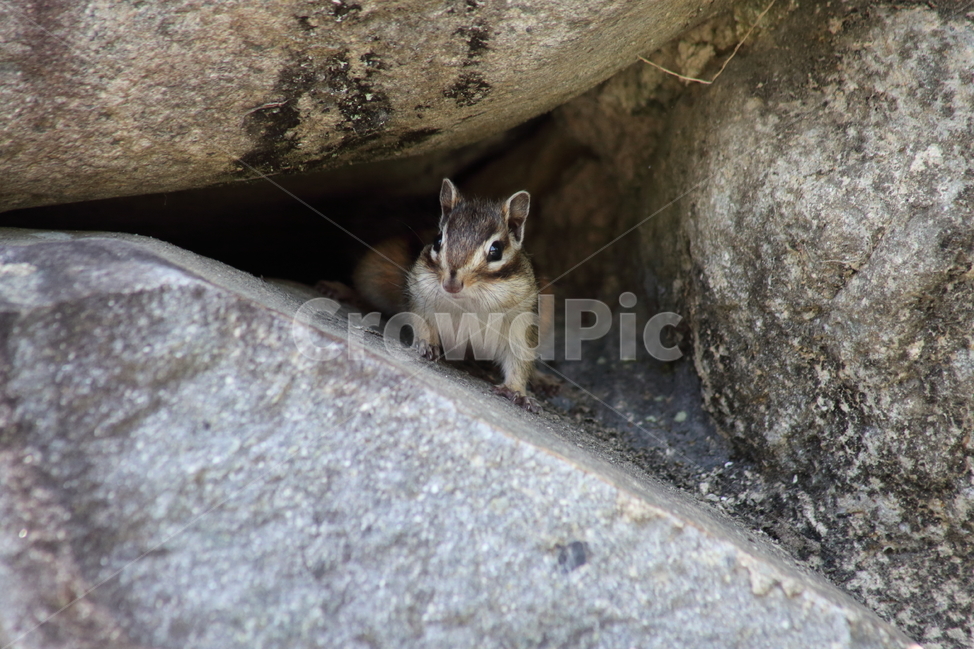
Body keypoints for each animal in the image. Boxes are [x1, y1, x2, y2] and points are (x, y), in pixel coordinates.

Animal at [351, 178, 547, 412]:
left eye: (496, 250)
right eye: (437, 241)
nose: (451, 284)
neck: (468, 304)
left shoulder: (521, 320)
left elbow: (520, 358)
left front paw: (518, 390)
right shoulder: (420, 295)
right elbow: (422, 322)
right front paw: (426, 344)